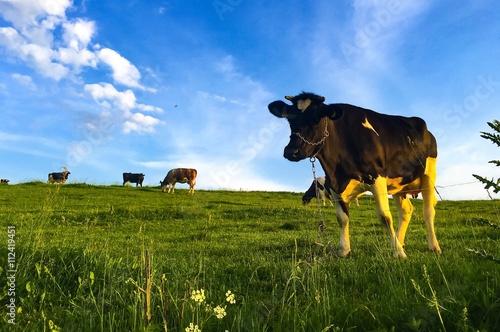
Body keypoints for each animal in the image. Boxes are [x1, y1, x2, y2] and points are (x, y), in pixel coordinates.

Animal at [270, 92, 442, 258]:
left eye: (315, 119)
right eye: (290, 120)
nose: (291, 151)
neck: (337, 167)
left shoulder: (377, 177)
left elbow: (385, 217)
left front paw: (398, 253)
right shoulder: (333, 184)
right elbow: (342, 218)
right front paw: (344, 250)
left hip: (429, 174)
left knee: (428, 212)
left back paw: (433, 246)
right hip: (399, 184)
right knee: (406, 211)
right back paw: (399, 242)